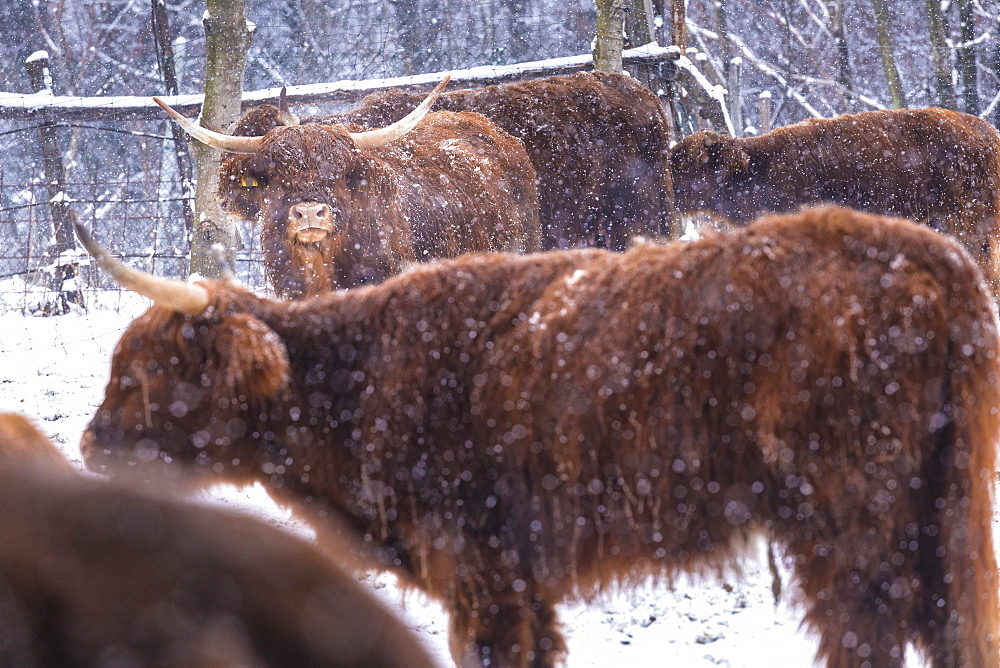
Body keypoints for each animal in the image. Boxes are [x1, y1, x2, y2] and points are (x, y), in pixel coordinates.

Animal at [76, 206, 1000, 664]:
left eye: (143, 371)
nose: (90, 445)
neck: (360, 378)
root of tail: (934, 260)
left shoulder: (479, 571)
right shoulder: (522, 580)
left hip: (849, 524)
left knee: (869, 636)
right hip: (940, 515)